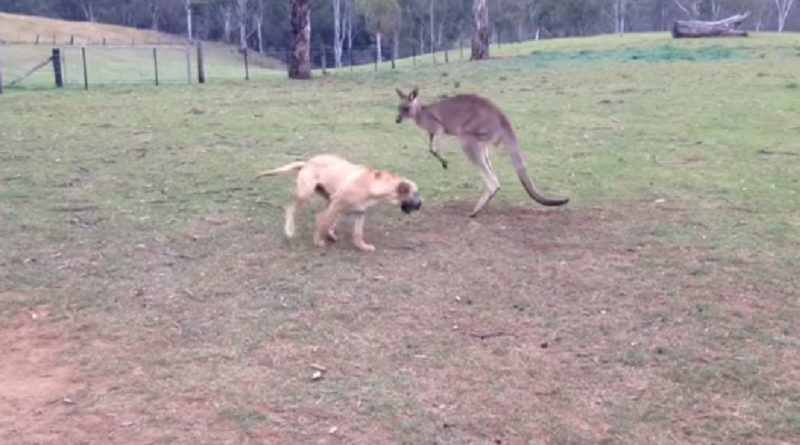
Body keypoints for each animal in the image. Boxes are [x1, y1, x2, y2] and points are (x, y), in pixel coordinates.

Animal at [256, 153, 422, 250]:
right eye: (415, 193)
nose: (421, 204)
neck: (374, 186)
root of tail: (308, 161)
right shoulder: (337, 204)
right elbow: (323, 221)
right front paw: (318, 241)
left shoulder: (360, 212)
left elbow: (357, 233)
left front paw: (362, 246)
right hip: (306, 193)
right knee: (291, 208)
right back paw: (290, 229)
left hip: (328, 197)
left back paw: (331, 234)